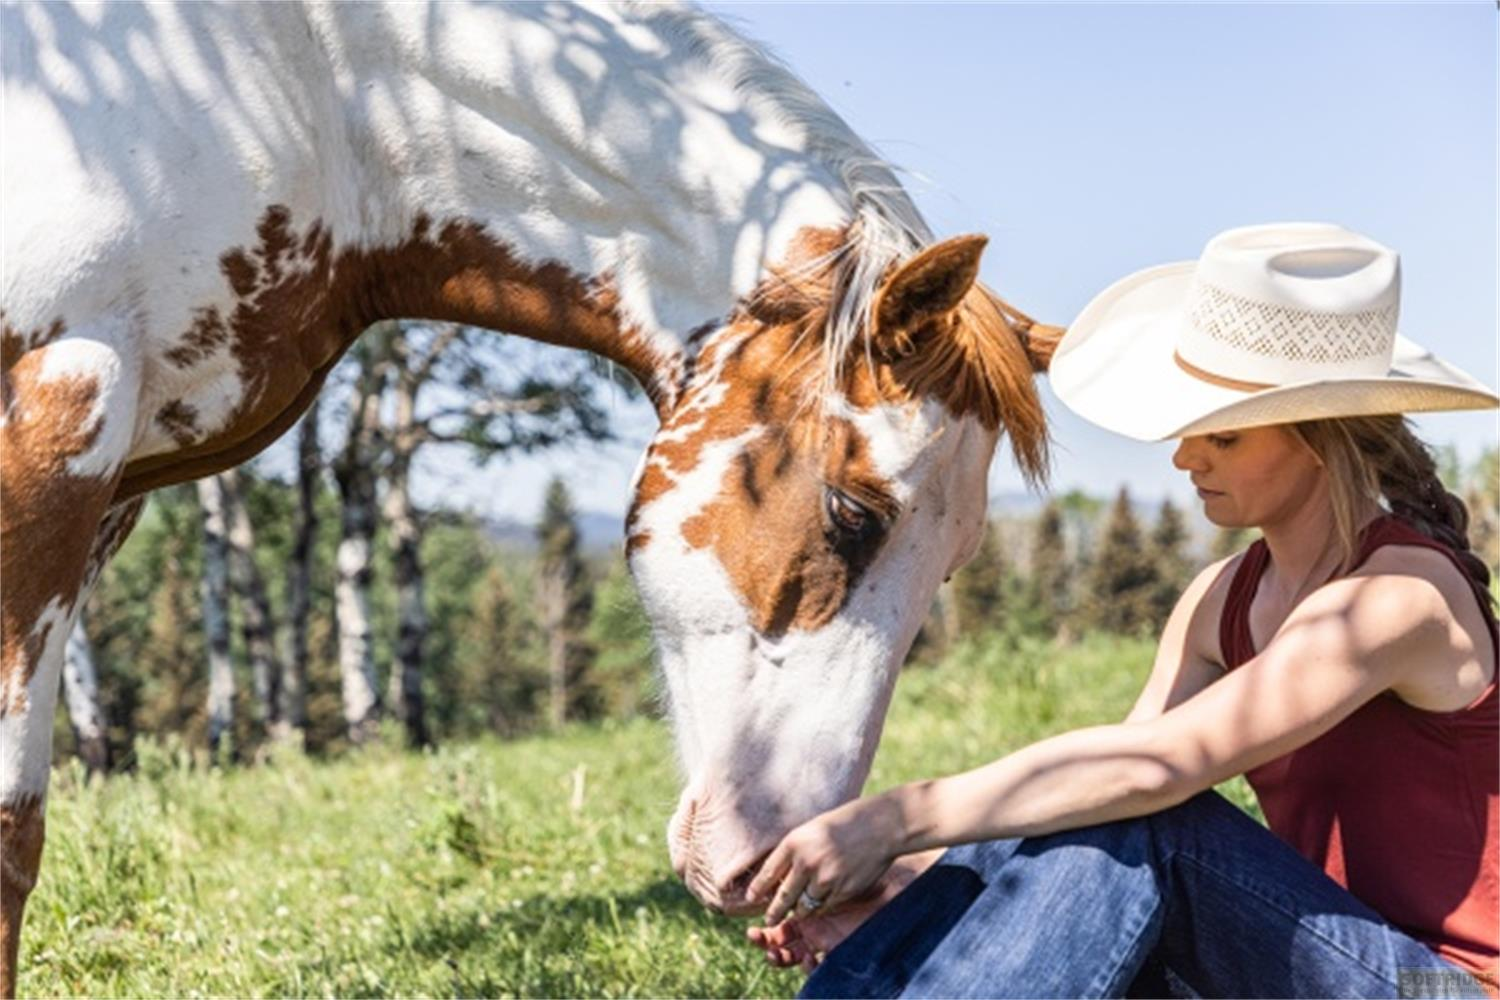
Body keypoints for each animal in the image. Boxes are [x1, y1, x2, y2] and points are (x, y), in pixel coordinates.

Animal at [0, 2, 1060, 990]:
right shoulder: (55, 418)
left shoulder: (116, 486)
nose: (777, 863)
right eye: (854, 513)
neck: (307, 86)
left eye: (956, 561)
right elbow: (15, 828)